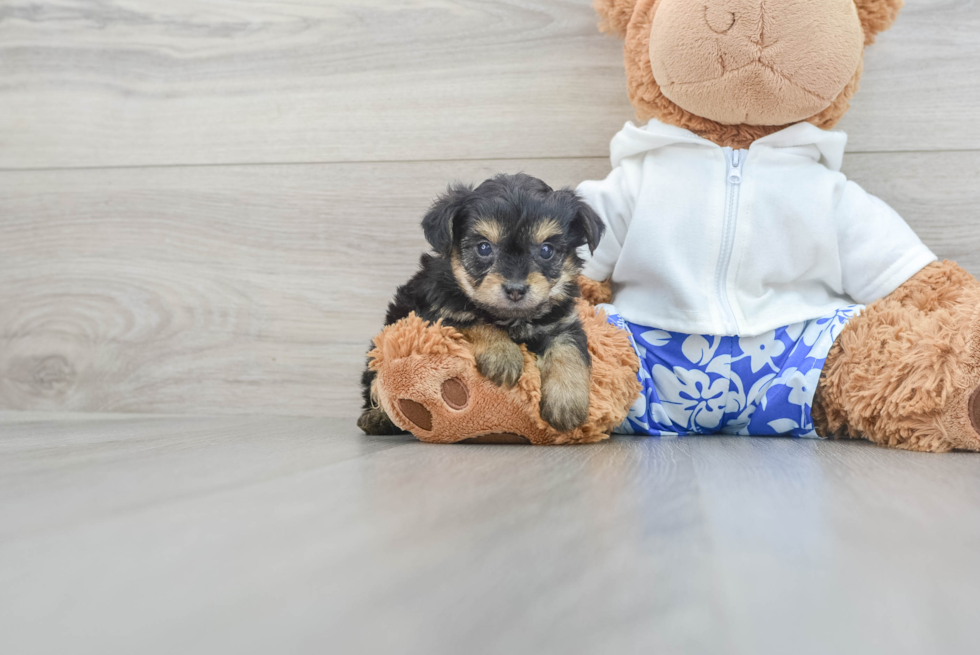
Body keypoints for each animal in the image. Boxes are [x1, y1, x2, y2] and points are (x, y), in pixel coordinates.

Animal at [360, 173, 604, 436]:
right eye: (484, 247)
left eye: (546, 250)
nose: (515, 289)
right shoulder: (436, 313)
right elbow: (475, 320)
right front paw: (503, 354)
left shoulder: (562, 322)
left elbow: (569, 349)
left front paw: (567, 402)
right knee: (374, 384)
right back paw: (377, 418)